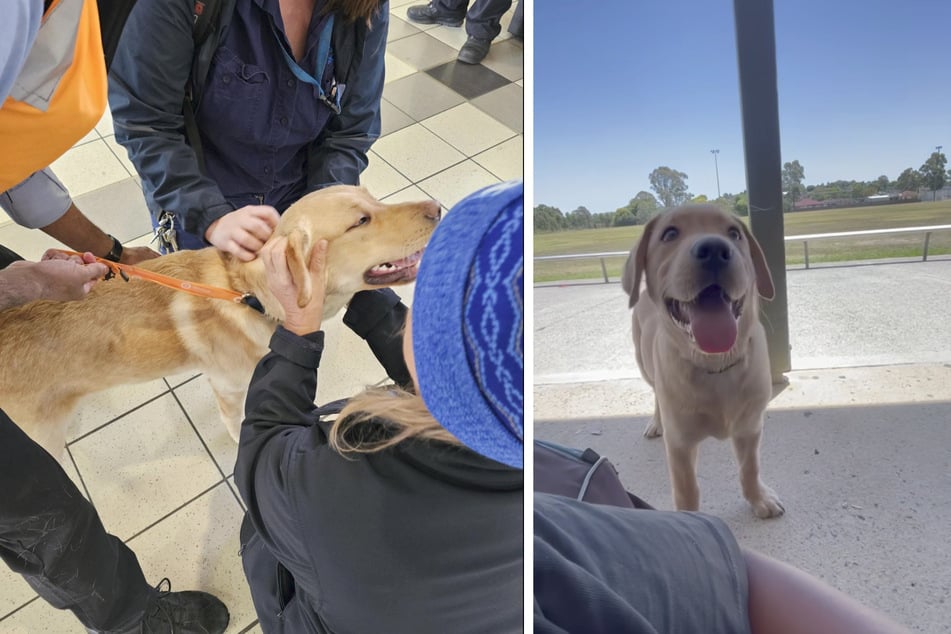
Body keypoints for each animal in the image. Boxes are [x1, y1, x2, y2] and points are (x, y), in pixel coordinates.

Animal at [0, 185, 438, 456]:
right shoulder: (230, 390)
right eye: (361, 221)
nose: (437, 207)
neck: (249, 296)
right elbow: (241, 427)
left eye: (373, 200)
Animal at [620, 205, 784, 516]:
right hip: (643, 363)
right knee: (656, 393)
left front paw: (758, 498)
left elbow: (750, 468)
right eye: (669, 234)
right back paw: (656, 422)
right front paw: (689, 519)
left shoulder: (750, 427)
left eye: (734, 233)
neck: (715, 364)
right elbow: (687, 490)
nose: (714, 249)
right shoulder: (680, 443)